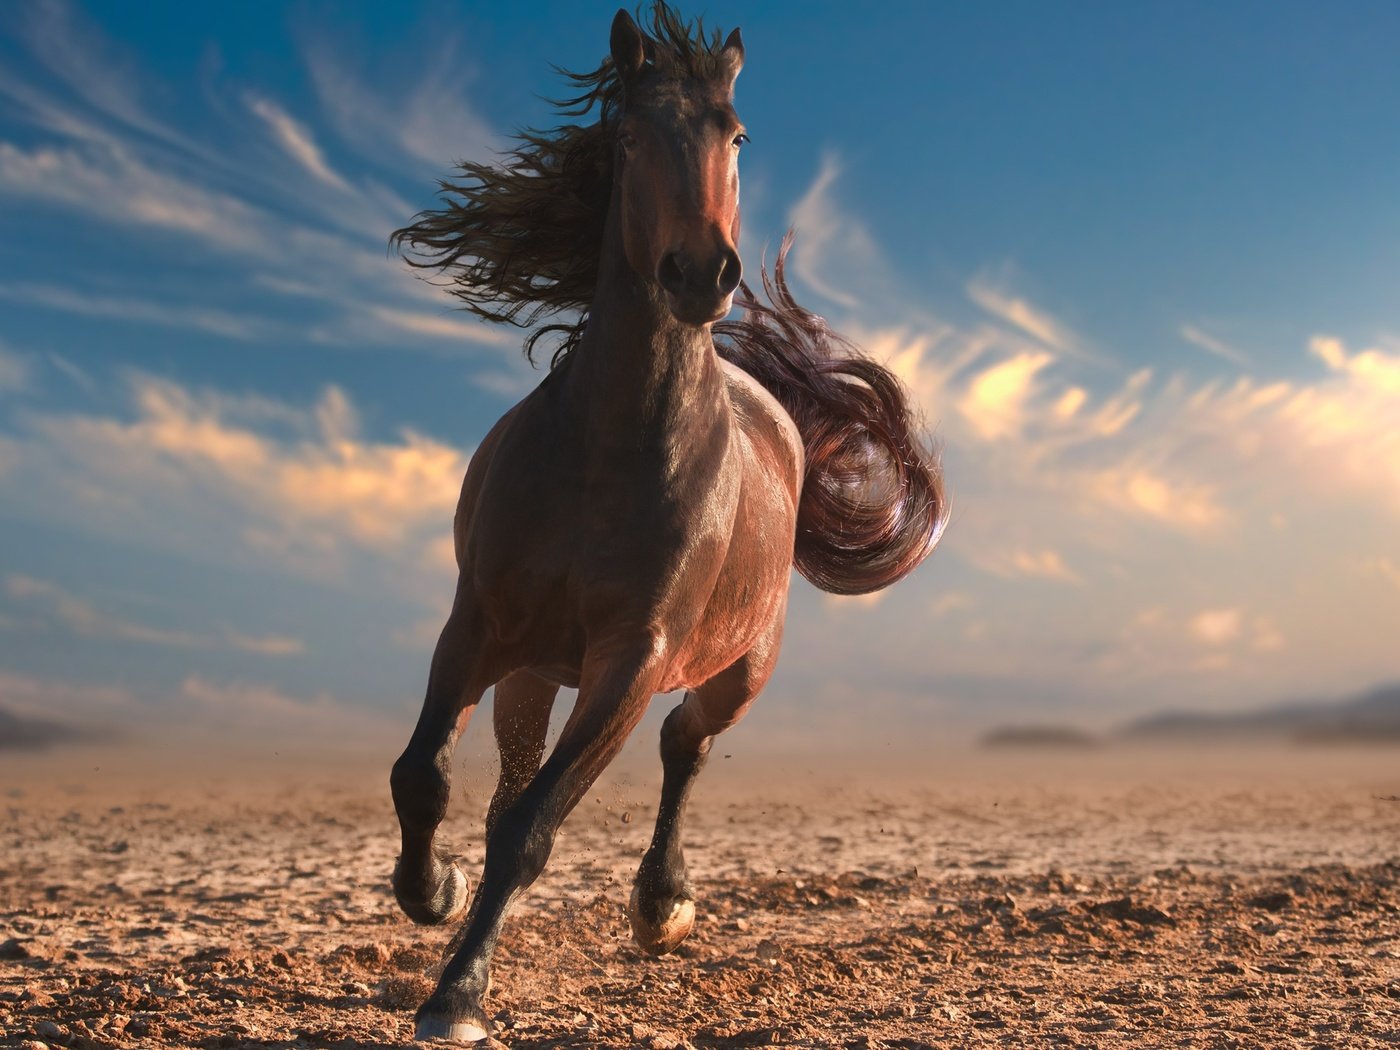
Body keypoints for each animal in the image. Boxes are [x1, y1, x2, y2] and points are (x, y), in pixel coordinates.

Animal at [389, 6, 946, 1047]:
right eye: (631, 136)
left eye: (737, 136)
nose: (700, 272)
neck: (610, 448)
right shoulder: (478, 624)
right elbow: (426, 778)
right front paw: (431, 891)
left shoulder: (634, 658)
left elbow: (532, 830)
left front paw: (458, 997)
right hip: (534, 670)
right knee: (514, 774)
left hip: (739, 665)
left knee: (686, 744)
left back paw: (663, 907)